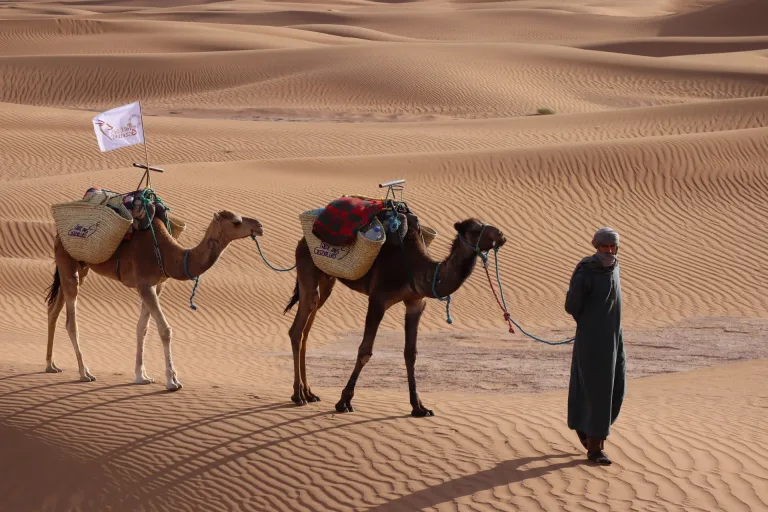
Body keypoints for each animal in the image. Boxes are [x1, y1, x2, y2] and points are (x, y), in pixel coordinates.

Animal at [45, 209, 263, 391]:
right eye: (236, 222)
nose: (259, 226)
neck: (168, 255)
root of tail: (58, 235)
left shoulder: (155, 286)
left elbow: (142, 328)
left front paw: (142, 376)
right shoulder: (144, 284)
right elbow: (165, 330)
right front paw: (172, 380)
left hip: (80, 268)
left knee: (53, 309)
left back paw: (51, 365)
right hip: (68, 263)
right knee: (71, 322)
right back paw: (85, 373)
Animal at [284, 216, 506, 416]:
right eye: (476, 230)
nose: (501, 235)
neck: (419, 270)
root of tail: (302, 240)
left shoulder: (416, 303)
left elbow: (411, 354)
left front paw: (419, 407)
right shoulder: (378, 299)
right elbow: (365, 351)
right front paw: (344, 401)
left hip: (327, 280)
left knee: (306, 330)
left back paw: (309, 392)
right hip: (307, 267)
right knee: (297, 329)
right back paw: (298, 395)